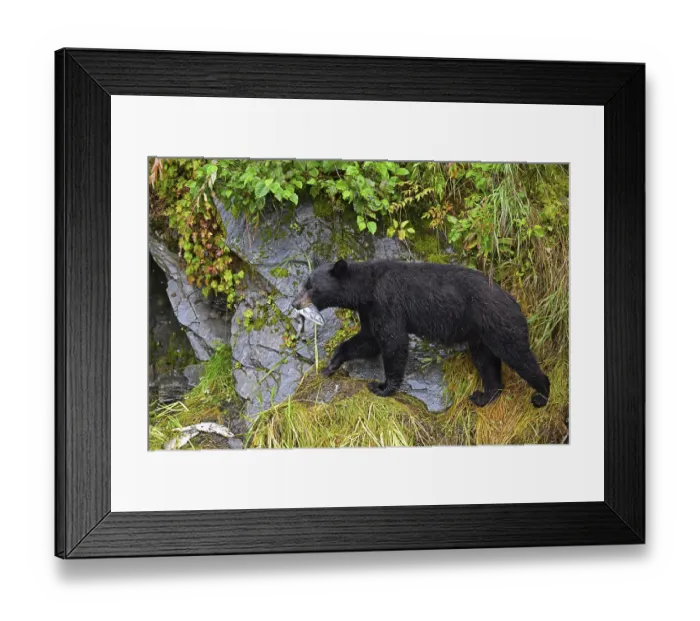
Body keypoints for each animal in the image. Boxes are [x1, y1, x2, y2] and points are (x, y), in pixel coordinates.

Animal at [292, 259, 550, 408]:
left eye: (311, 287)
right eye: (304, 283)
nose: (295, 303)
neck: (367, 288)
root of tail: (515, 303)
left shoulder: (387, 302)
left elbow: (394, 342)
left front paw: (382, 387)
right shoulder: (369, 310)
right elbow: (368, 340)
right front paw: (331, 365)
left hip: (501, 325)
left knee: (519, 357)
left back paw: (542, 394)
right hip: (481, 336)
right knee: (486, 363)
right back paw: (484, 396)